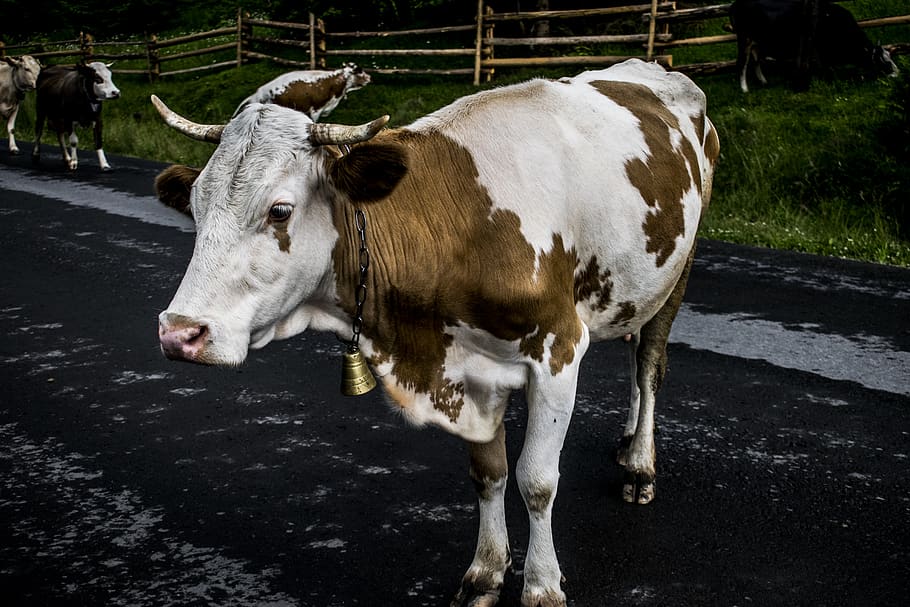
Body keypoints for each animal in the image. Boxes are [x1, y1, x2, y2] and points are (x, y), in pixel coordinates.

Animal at [730, 0, 899, 93]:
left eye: (890, 57)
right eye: (883, 61)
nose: (897, 73)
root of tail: (736, 4)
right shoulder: (821, 51)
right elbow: (826, 67)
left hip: (756, 41)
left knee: (756, 60)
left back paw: (763, 81)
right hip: (744, 38)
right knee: (742, 63)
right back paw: (744, 88)